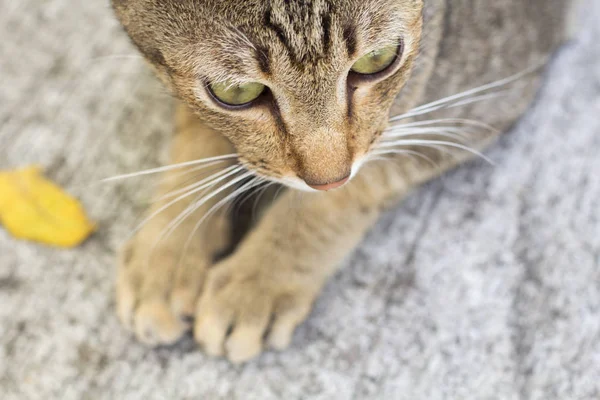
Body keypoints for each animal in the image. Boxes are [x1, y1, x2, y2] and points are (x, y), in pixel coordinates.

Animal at [111, 0, 572, 362]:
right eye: (235, 92)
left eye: (379, 58)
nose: (328, 177)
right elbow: (197, 131)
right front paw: (168, 251)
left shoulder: (488, 94)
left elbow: (348, 192)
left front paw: (255, 283)